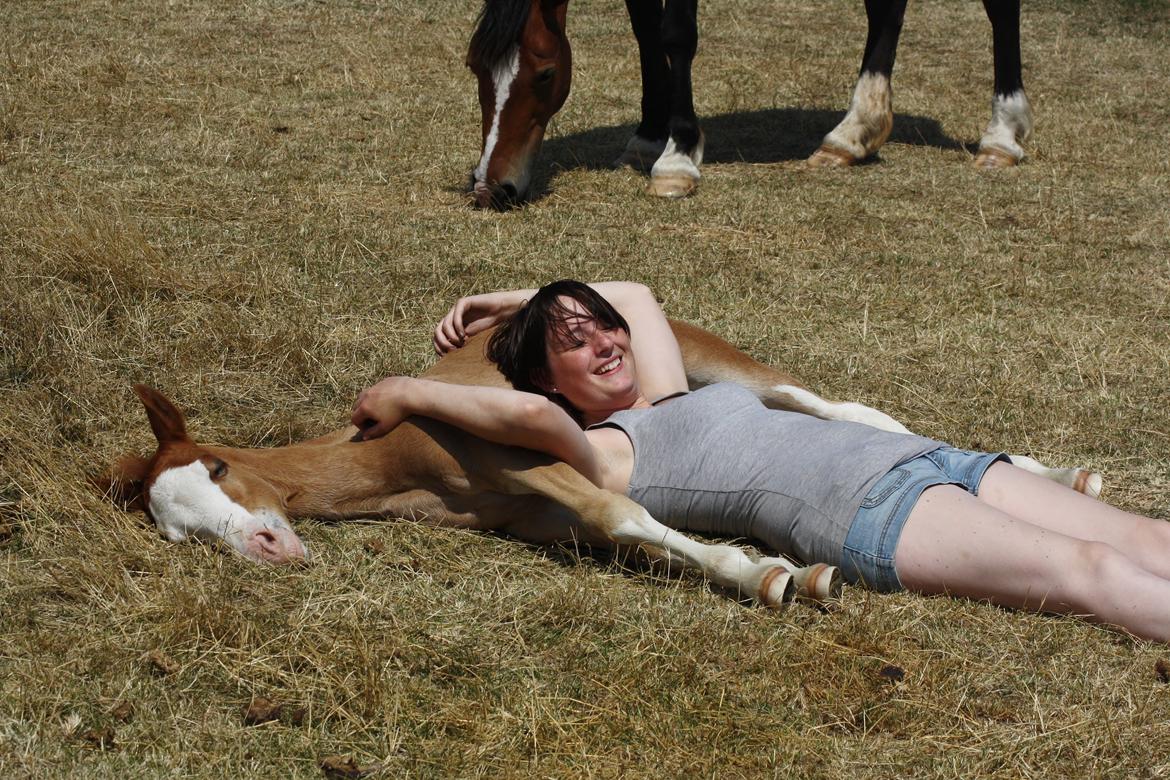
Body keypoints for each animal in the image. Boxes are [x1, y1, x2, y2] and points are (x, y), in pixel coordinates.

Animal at [465, 0, 1034, 209]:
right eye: (474, 67)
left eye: (544, 73)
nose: (493, 186)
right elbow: (645, 25)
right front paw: (647, 135)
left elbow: (675, 33)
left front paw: (677, 155)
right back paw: (853, 132)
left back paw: (1002, 135)